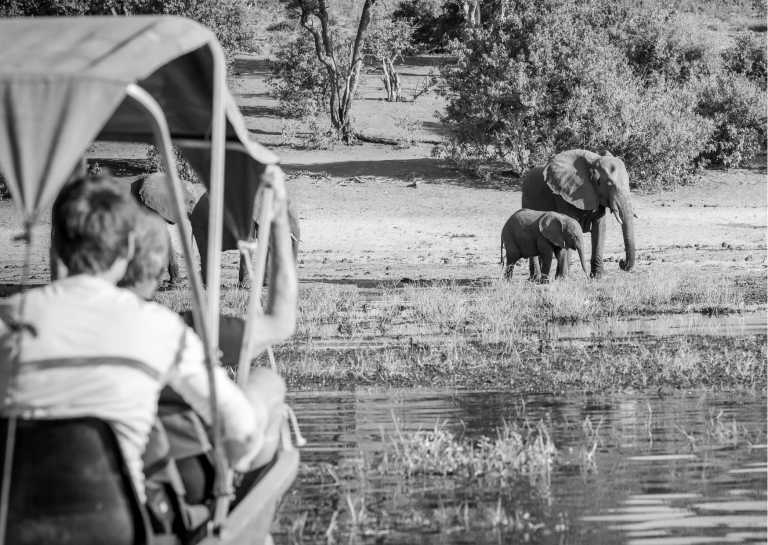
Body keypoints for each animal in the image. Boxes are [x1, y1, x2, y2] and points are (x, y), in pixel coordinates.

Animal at [520, 148, 636, 276]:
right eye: (609, 184)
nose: (621, 262)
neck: (593, 162)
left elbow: (599, 228)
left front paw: (597, 276)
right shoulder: (563, 195)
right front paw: (563, 277)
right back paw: (535, 277)